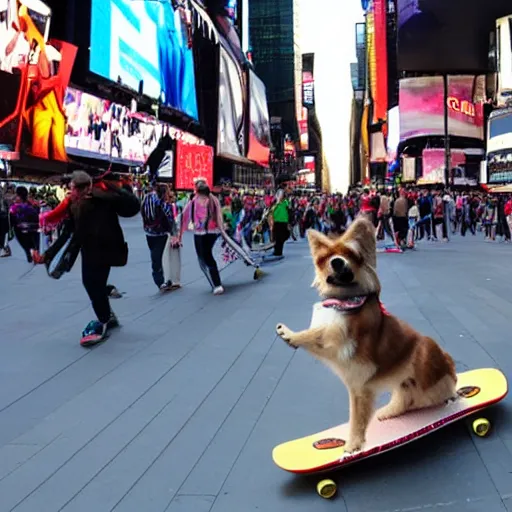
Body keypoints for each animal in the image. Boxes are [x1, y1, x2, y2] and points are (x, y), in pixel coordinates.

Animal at [276, 216, 456, 452]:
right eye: (326, 257)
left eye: (350, 254)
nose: (337, 262)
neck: (345, 301)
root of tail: (449, 365)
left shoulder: (354, 368)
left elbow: (357, 418)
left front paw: (352, 445)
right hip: (404, 383)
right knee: (405, 401)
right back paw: (388, 412)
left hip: (424, 368)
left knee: (427, 398)